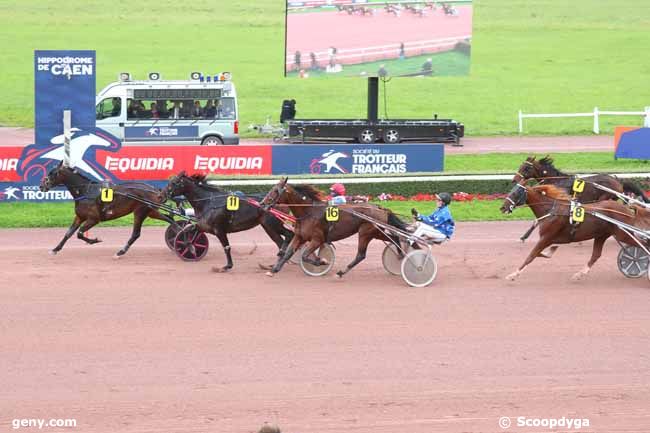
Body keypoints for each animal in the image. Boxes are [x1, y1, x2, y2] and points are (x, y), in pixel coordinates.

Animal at [39, 162, 176, 256]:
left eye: (53, 173)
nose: (41, 186)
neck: (86, 191)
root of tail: (154, 189)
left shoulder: (94, 219)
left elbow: (80, 233)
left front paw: (94, 240)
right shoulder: (79, 217)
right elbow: (68, 233)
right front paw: (55, 249)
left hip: (140, 211)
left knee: (136, 234)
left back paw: (121, 251)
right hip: (151, 211)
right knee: (170, 219)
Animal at [260, 178, 404, 276]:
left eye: (275, 190)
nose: (262, 204)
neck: (308, 212)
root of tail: (381, 208)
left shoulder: (317, 239)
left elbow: (305, 256)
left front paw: (322, 261)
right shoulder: (300, 236)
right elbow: (288, 253)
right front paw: (274, 269)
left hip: (366, 232)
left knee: (362, 254)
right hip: (375, 232)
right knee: (393, 238)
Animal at [498, 182, 644, 280]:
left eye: (516, 193)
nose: (503, 207)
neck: (551, 210)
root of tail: (628, 210)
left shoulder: (546, 238)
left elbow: (532, 255)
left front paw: (513, 274)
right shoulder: (552, 239)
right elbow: (542, 253)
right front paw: (550, 251)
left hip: (623, 234)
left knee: (643, 244)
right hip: (602, 235)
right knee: (596, 255)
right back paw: (580, 273)